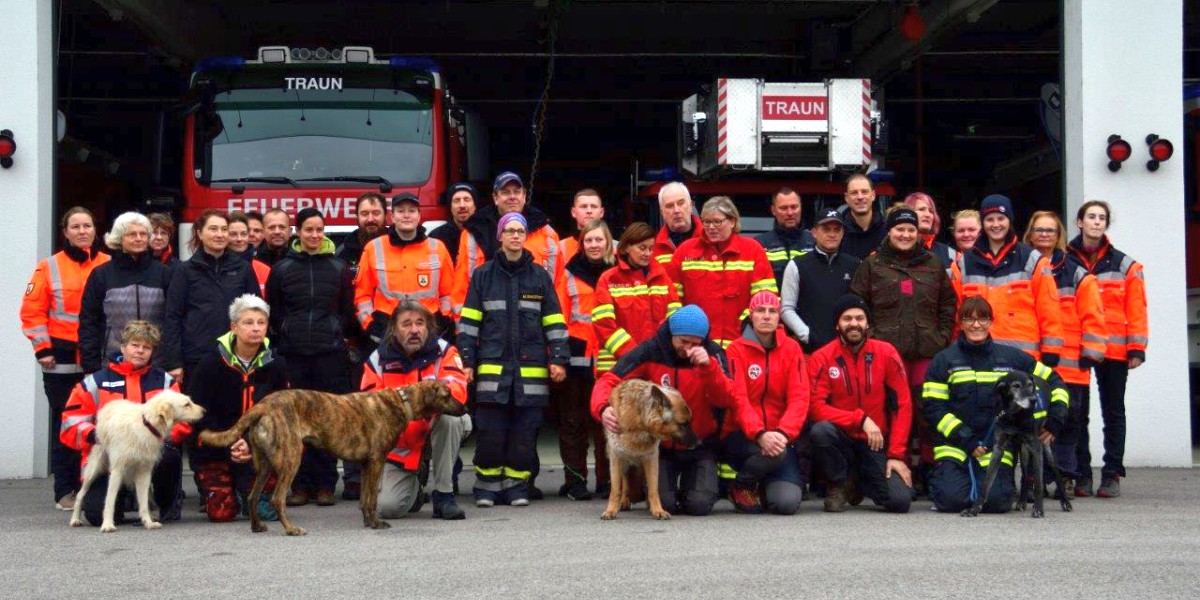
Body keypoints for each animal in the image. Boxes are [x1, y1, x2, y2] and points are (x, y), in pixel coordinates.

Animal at [70, 391, 204, 532]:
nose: (204, 411)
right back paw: (75, 519)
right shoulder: (117, 471)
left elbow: (144, 503)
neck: (146, 424)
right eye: (187, 404)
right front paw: (107, 524)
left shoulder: (144, 473)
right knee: (80, 495)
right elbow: (110, 501)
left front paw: (148, 522)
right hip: (93, 470)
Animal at [199, 379, 460, 535]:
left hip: (264, 464)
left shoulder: (366, 465)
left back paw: (257, 526)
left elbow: (364, 499)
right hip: (291, 459)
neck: (402, 402)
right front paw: (376, 524)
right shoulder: (376, 461)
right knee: (277, 498)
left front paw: (368, 521)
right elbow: (372, 499)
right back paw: (291, 529)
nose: (465, 407)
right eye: (447, 394)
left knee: (253, 495)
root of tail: (262, 405)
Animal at [600, 379, 700, 520]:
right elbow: (615, 490)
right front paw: (611, 510)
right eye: (683, 424)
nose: (699, 443)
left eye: (689, 422)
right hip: (624, 463)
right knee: (625, 481)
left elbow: (653, 489)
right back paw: (624, 501)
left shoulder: (651, 459)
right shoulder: (616, 458)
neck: (640, 421)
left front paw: (658, 510)